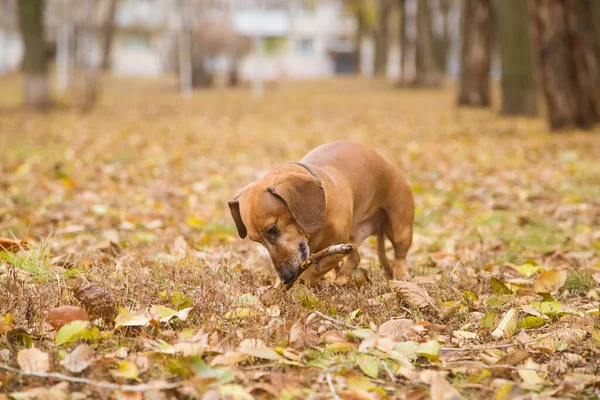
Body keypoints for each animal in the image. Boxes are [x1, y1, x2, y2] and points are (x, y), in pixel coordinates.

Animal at [227, 142, 414, 286]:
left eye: (272, 229)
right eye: (256, 241)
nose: (286, 277)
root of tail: (389, 165)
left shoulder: (337, 249)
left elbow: (313, 271)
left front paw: (300, 285)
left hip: (400, 229)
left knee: (400, 255)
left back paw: (401, 276)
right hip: (354, 237)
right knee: (355, 258)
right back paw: (340, 279)